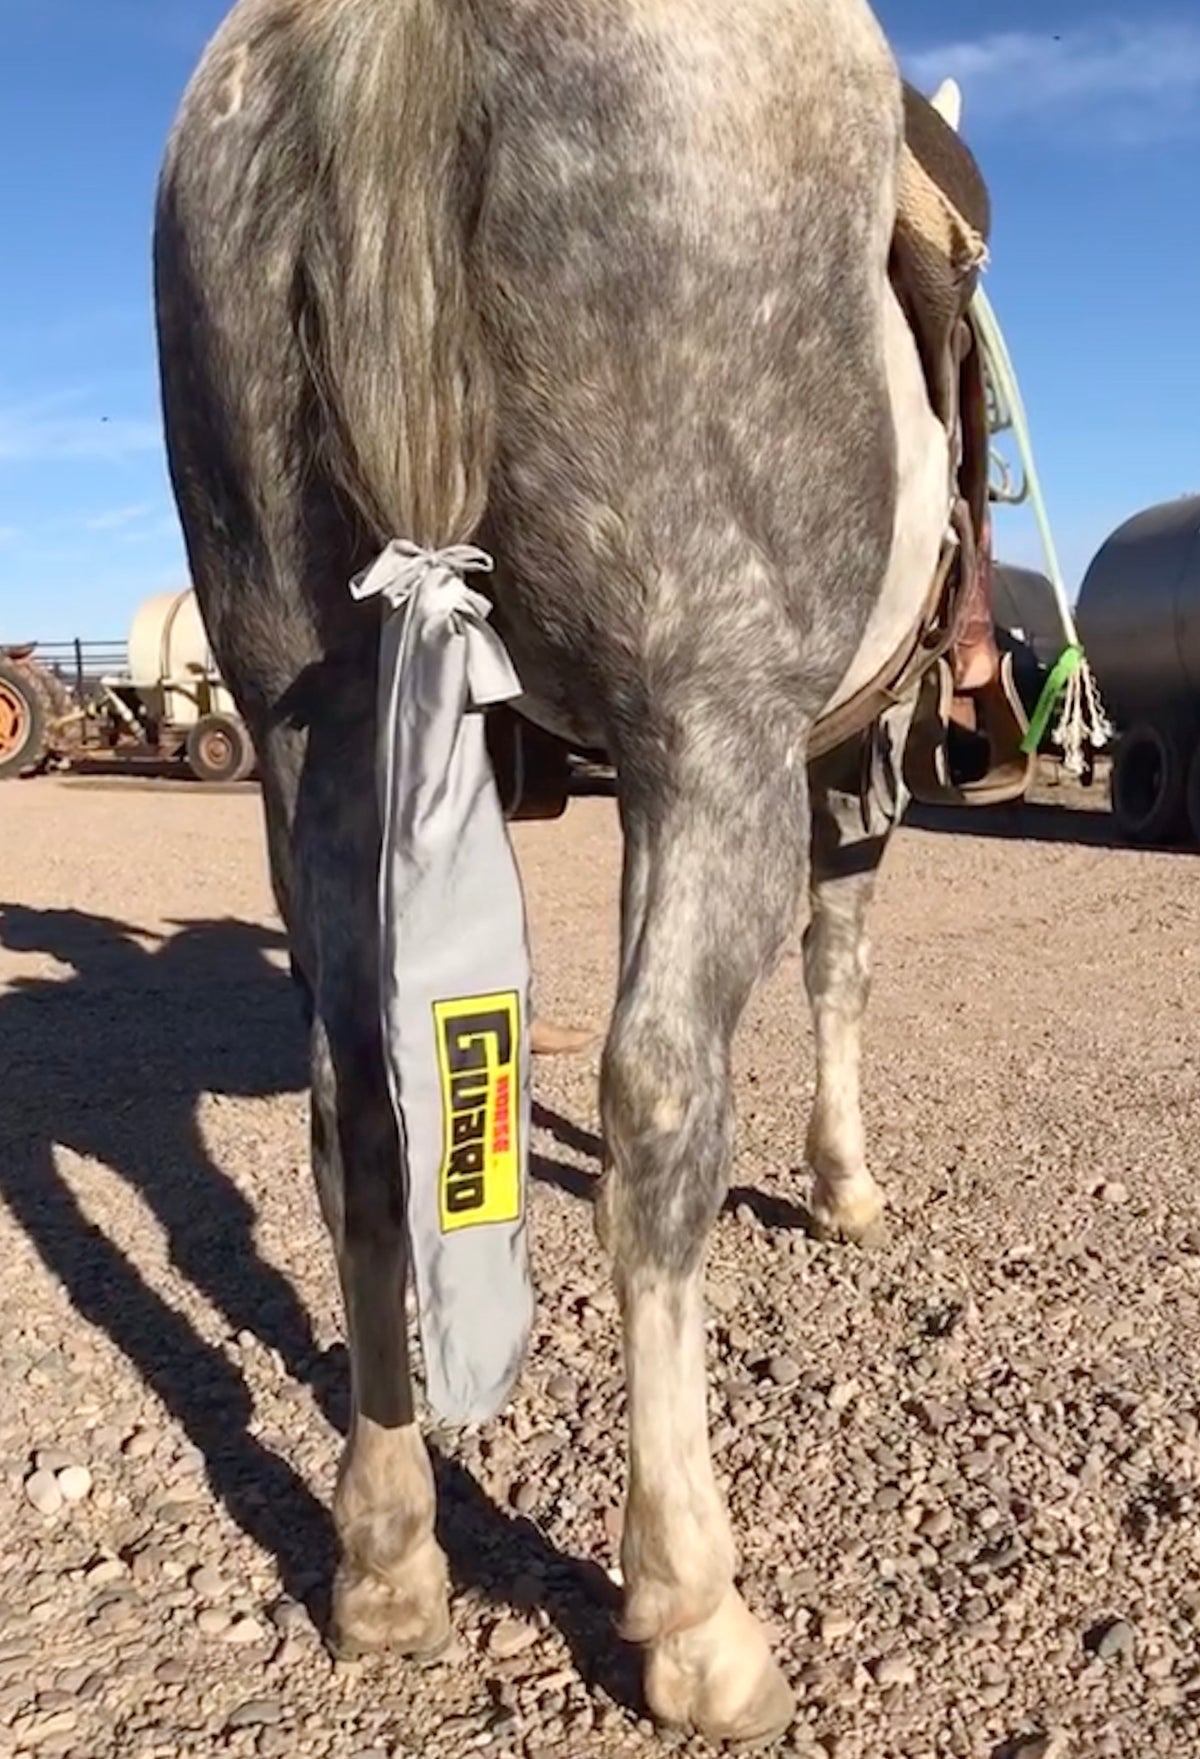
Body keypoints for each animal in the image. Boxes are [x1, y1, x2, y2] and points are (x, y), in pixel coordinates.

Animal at [153, 0, 988, 1741]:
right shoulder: (833, 762)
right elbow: (840, 958)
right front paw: (846, 1183)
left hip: (309, 720)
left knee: (359, 1113)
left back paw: (386, 1558)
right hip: (708, 713)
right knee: (663, 1090)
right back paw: (694, 1611)